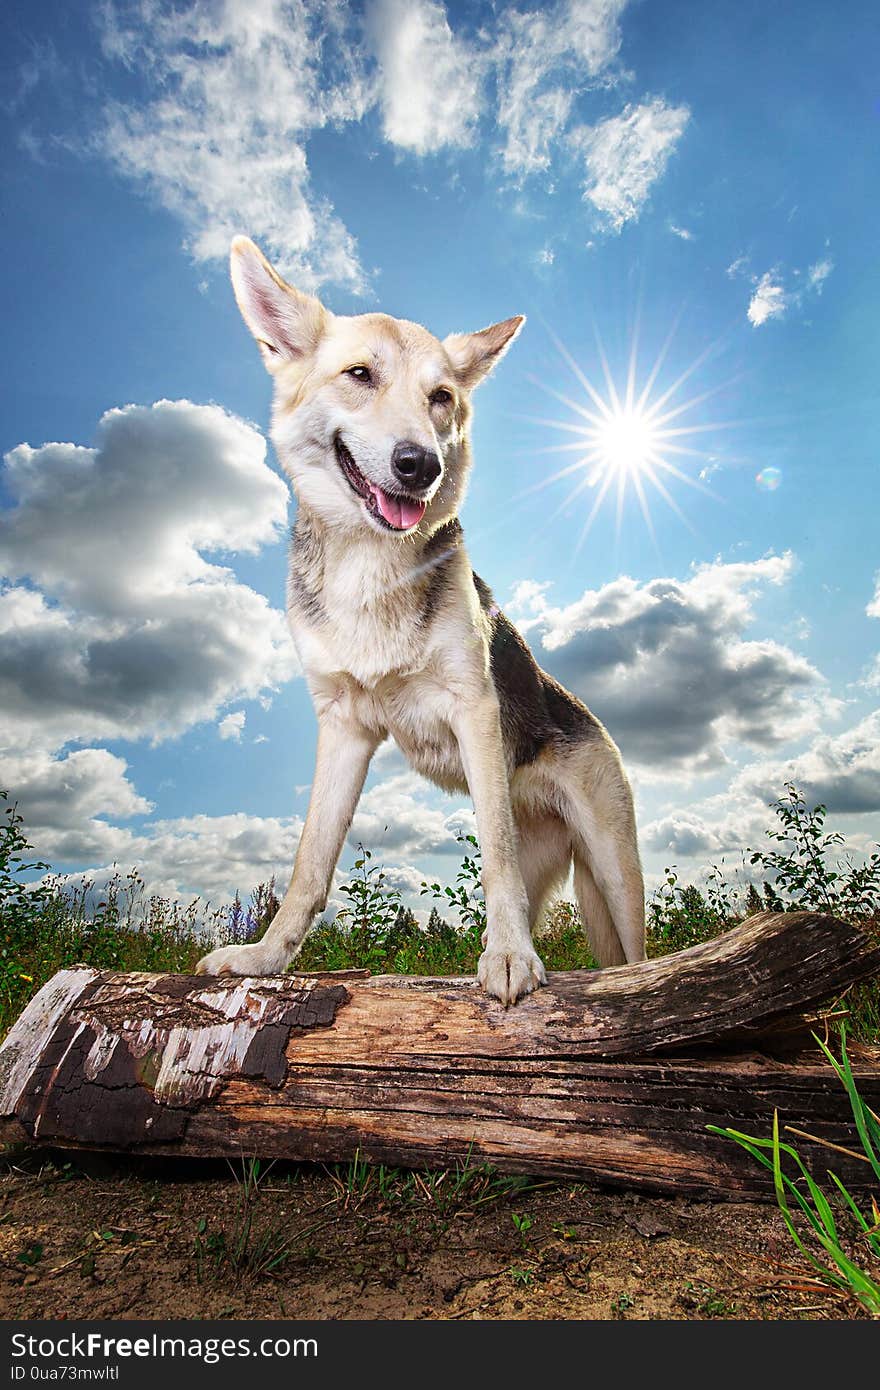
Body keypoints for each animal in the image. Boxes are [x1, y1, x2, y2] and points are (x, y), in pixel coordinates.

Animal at [196, 236, 642, 1000]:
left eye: (442, 399)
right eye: (360, 374)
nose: (420, 465)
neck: (370, 568)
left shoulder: (473, 711)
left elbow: (493, 854)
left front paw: (509, 957)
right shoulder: (343, 728)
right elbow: (309, 865)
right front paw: (265, 958)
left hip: (614, 875)